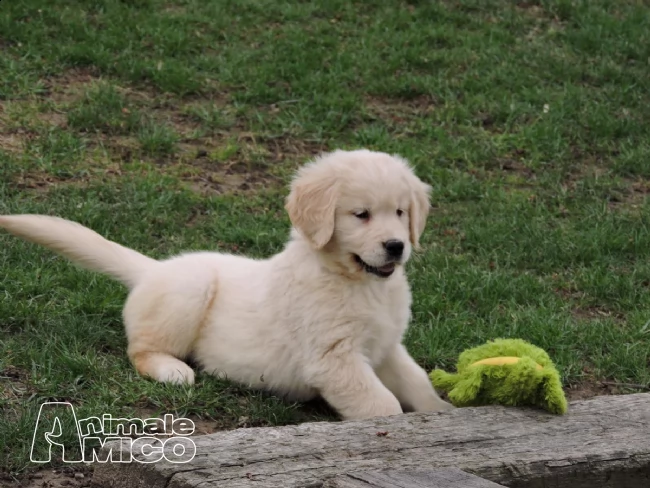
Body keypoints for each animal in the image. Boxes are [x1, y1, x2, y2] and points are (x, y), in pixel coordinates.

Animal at [0, 148, 450, 420]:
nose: (396, 247)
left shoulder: (386, 346)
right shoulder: (334, 358)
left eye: (399, 212)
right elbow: (382, 403)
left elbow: (417, 381)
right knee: (140, 349)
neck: (358, 282)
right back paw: (172, 370)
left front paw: (443, 412)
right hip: (190, 288)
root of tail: (152, 269)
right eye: (361, 215)